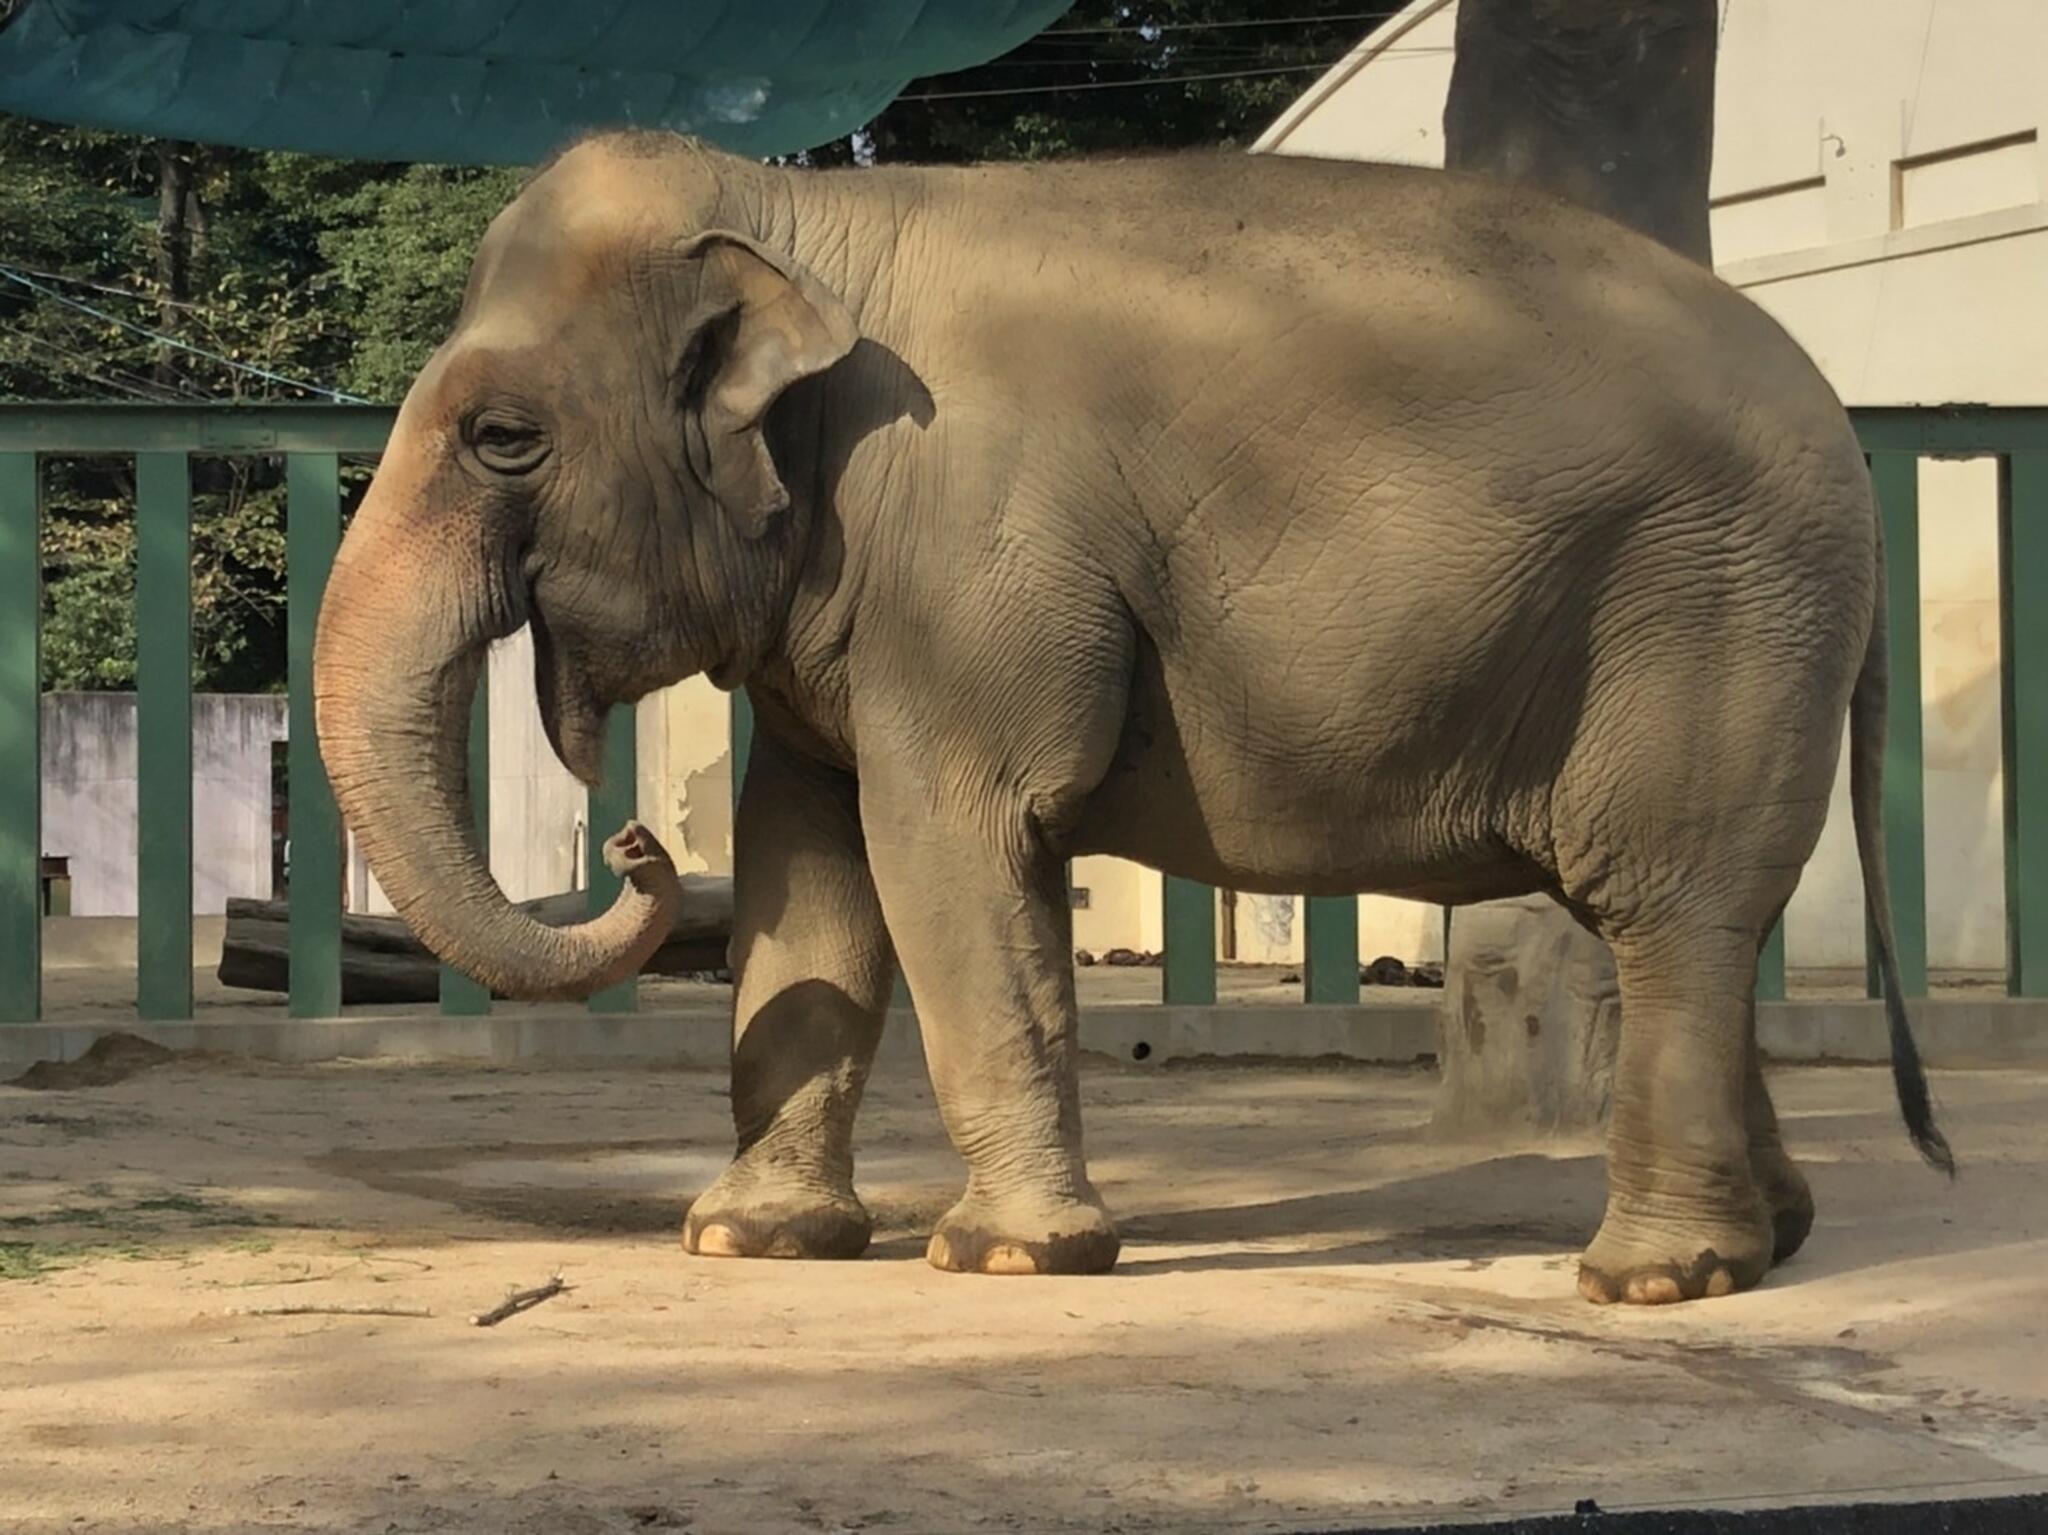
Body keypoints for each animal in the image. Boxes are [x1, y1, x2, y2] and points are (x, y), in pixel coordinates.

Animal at [307, 129, 1949, 1309]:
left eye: (502, 437)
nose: (637, 843)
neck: (804, 220)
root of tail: (1844, 436)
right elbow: (804, 863)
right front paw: (747, 1240)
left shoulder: (968, 560)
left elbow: (946, 844)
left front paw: (1004, 1257)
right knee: (1712, 924)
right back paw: (1769, 1240)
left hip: (1709, 615)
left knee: (1670, 906)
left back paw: (1652, 1275)